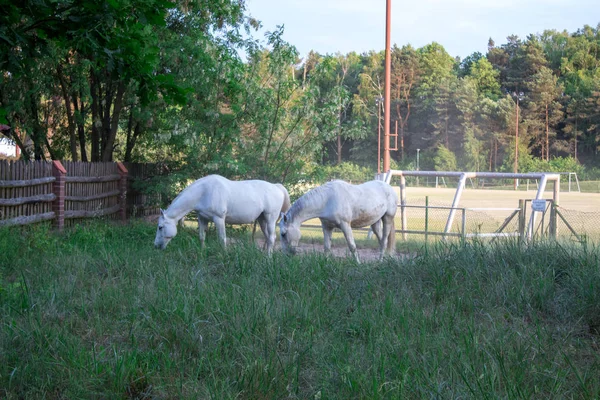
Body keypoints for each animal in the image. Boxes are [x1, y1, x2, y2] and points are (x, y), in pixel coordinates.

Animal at [155, 173, 290, 255]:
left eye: (160, 227)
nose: (156, 246)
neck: (204, 191)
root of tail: (277, 187)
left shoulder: (219, 219)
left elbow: (222, 239)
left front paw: (223, 255)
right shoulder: (202, 218)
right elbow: (202, 236)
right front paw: (202, 252)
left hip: (270, 218)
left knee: (271, 238)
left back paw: (268, 258)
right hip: (262, 219)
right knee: (268, 237)